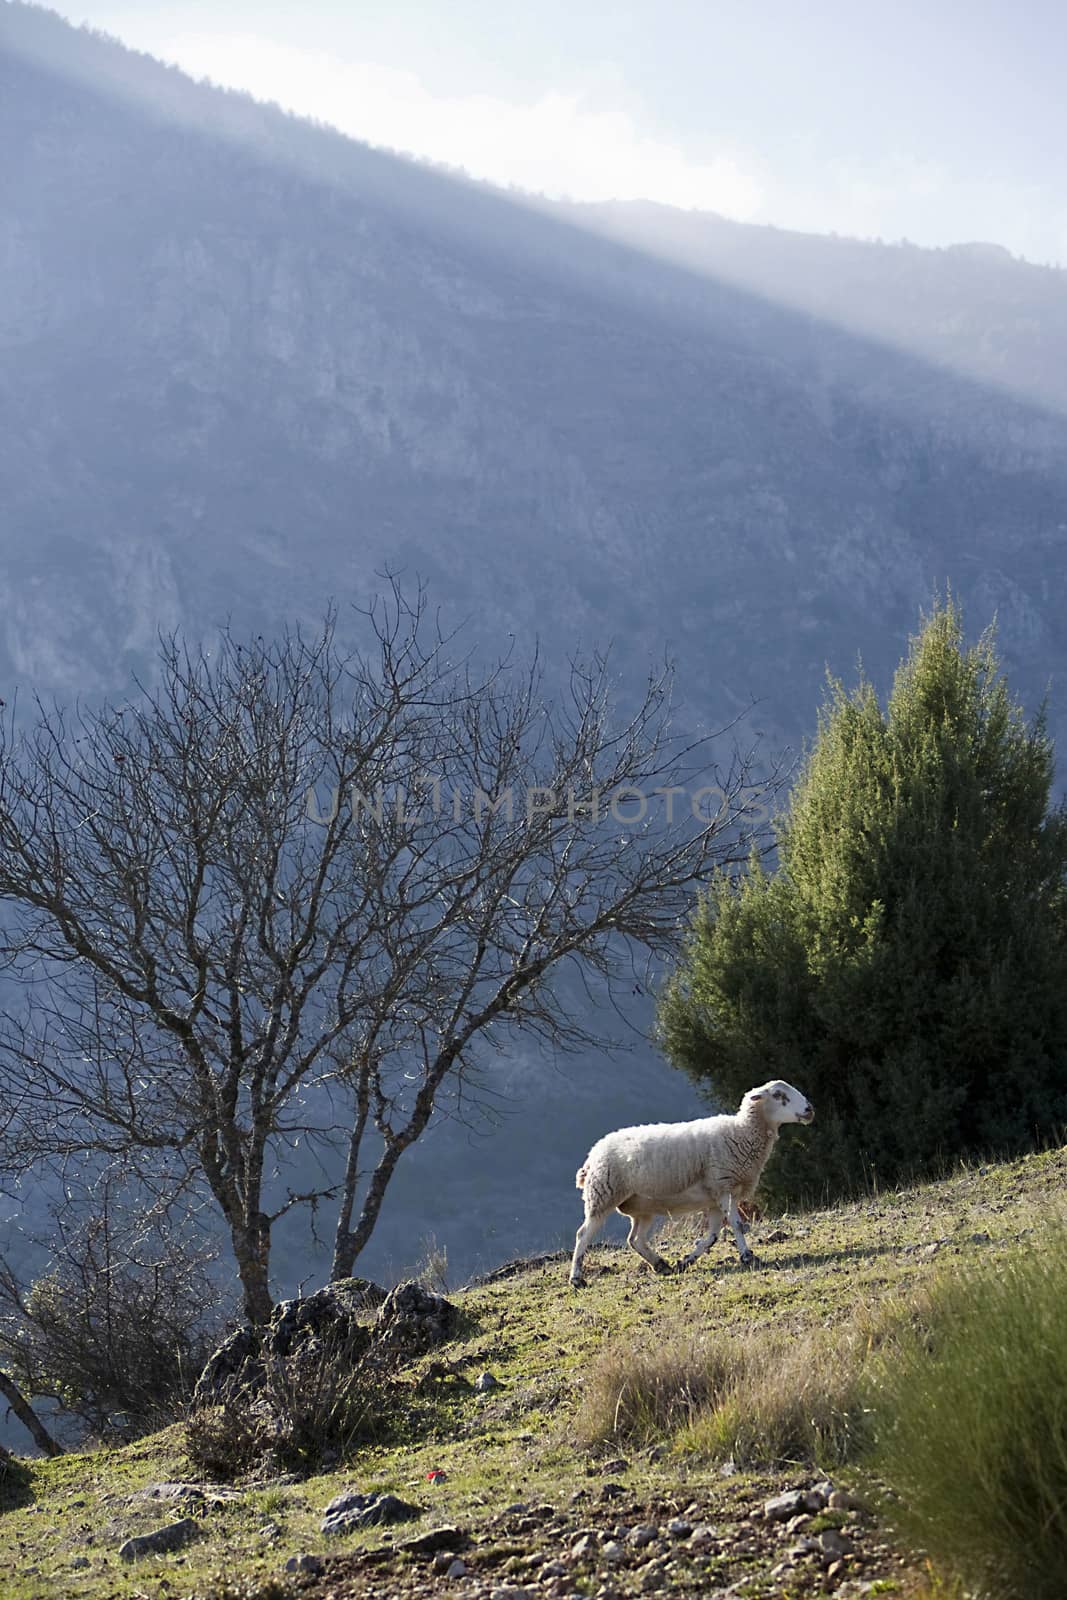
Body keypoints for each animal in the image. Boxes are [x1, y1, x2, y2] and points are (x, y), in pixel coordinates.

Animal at [572, 1075, 812, 1286]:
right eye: (778, 1095)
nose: (810, 1109)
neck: (742, 1133)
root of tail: (592, 1155)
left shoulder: (719, 1194)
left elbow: (713, 1235)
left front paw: (686, 1261)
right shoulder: (723, 1184)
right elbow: (737, 1225)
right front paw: (747, 1256)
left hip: (641, 1205)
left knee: (635, 1239)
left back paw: (661, 1265)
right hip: (603, 1194)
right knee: (584, 1234)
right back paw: (576, 1279)